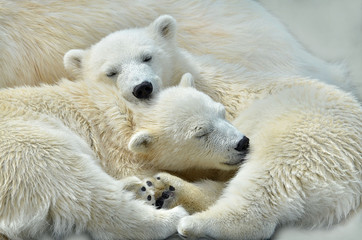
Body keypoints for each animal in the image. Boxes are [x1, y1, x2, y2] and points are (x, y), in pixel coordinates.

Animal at [0, 74, 249, 239]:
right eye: (201, 133)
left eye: (221, 113)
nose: (242, 143)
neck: (126, 116)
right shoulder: (117, 152)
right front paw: (167, 188)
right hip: (26, 148)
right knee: (82, 188)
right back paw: (167, 214)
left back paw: (136, 188)